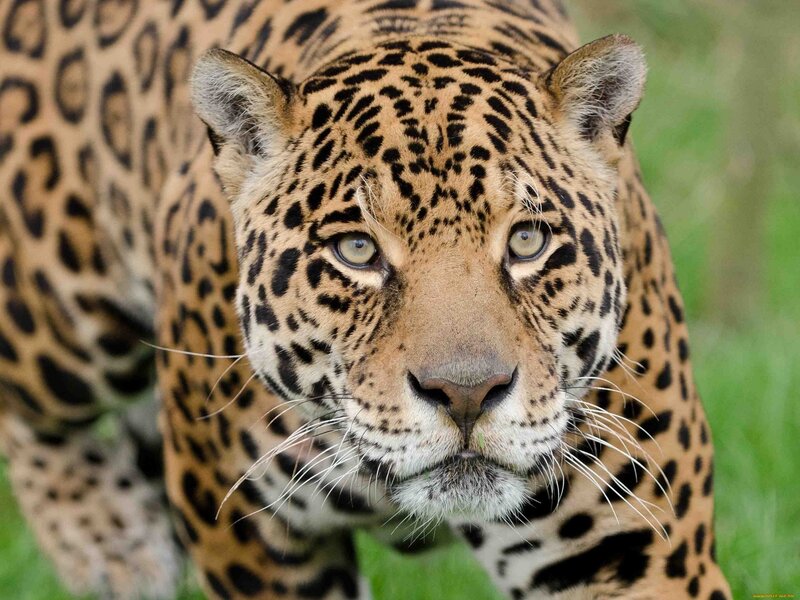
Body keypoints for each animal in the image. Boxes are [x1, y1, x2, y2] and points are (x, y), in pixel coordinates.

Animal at [0, 0, 732, 598]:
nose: (466, 393)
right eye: (357, 250)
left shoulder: (631, 554)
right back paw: (111, 543)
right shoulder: (251, 545)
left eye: (527, 240)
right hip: (61, 309)